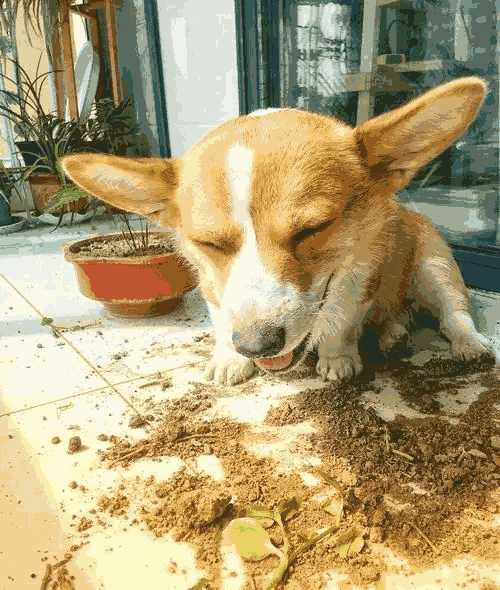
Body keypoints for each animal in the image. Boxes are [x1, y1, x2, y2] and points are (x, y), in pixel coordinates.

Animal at [62, 78, 492, 388]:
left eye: (313, 229)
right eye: (209, 243)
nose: (256, 346)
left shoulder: (360, 276)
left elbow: (343, 320)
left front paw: (338, 358)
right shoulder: (212, 284)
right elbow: (222, 318)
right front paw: (230, 358)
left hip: (435, 266)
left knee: (453, 313)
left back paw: (468, 345)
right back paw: (393, 333)